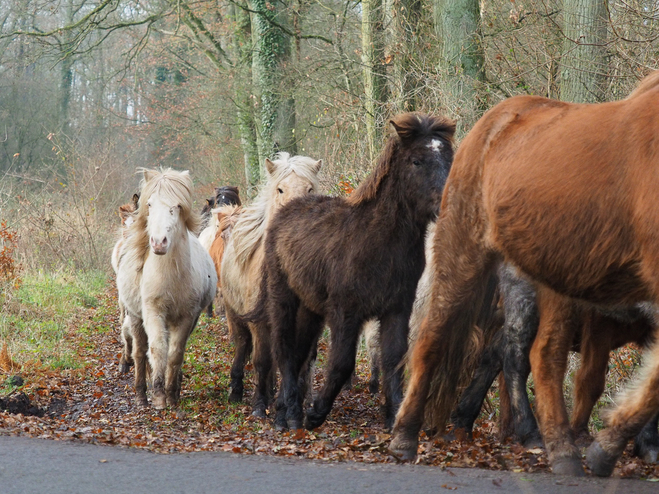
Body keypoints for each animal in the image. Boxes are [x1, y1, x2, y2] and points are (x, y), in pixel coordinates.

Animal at [117, 168, 218, 408]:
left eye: (178, 206)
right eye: (150, 204)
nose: (158, 242)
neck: (170, 275)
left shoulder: (187, 316)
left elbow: (175, 353)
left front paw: (172, 394)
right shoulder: (154, 312)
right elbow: (157, 349)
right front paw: (158, 394)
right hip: (136, 316)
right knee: (140, 351)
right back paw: (141, 393)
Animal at [222, 154, 322, 416]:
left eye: (310, 189)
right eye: (280, 189)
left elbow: (299, 364)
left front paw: (290, 404)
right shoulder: (259, 323)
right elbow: (262, 361)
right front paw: (259, 404)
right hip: (235, 315)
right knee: (243, 346)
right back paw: (237, 391)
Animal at [255, 112, 456, 428]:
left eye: (449, 158)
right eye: (416, 161)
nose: (447, 203)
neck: (378, 241)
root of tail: (288, 209)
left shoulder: (397, 308)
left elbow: (393, 359)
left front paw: (394, 416)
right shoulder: (346, 311)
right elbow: (341, 363)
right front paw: (316, 413)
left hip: (311, 309)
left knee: (299, 352)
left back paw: (285, 411)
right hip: (283, 298)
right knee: (284, 349)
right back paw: (290, 415)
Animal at [392, 70, 659, 478]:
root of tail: (491, 123)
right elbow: (602, 380)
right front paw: (605, 448)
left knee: (532, 355)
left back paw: (550, 444)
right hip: (464, 256)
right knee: (435, 341)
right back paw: (406, 436)